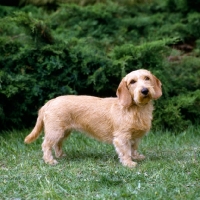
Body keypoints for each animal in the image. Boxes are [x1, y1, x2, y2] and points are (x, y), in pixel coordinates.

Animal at [24, 69, 162, 167]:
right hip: (55, 132)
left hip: (64, 132)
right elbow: (125, 151)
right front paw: (129, 163)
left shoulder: (135, 138)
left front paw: (136, 156)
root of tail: (48, 103)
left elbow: (133, 149)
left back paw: (61, 155)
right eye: (132, 81)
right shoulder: (122, 137)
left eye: (147, 78)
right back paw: (49, 160)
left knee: (57, 144)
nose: (144, 90)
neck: (136, 109)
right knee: (46, 145)